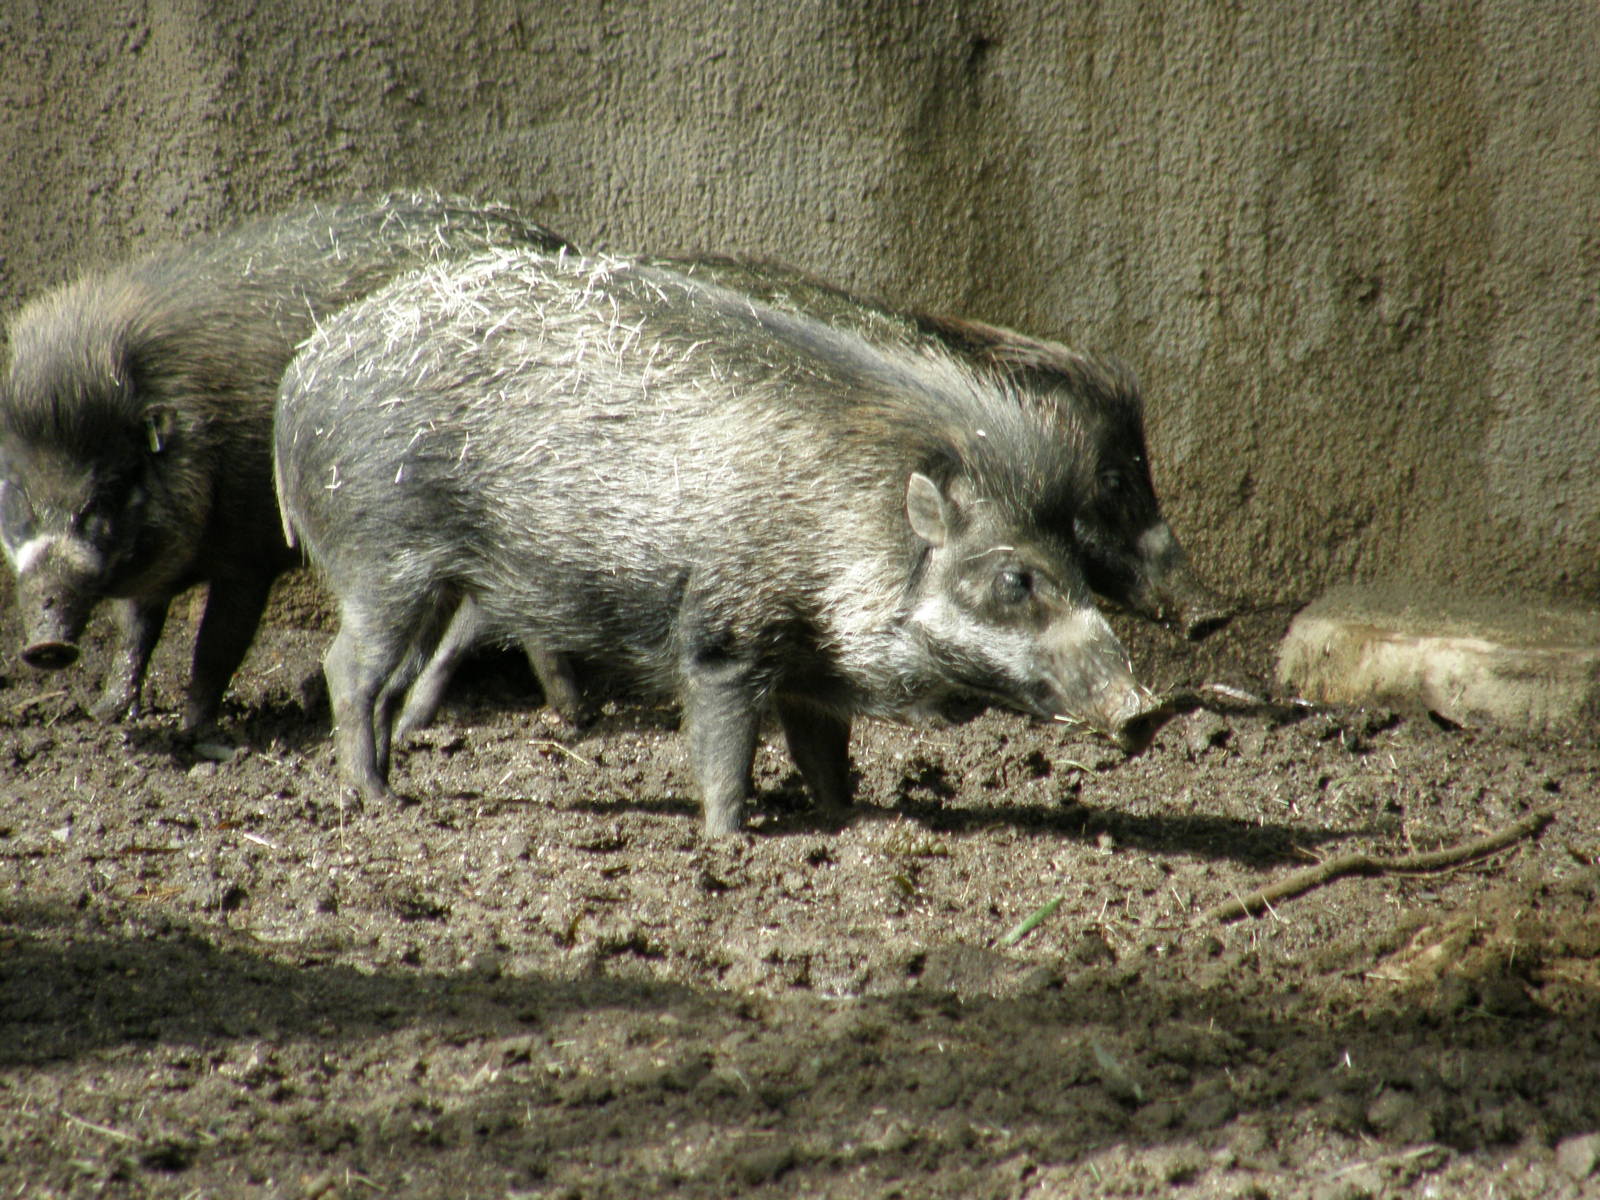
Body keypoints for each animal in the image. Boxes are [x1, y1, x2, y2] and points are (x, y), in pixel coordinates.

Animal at [0, 192, 570, 731]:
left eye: (105, 495)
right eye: (18, 499)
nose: (45, 648)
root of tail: (554, 240)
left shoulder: (252, 554)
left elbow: (217, 644)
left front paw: (197, 732)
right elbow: (136, 628)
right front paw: (108, 714)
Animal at [275, 250, 1169, 835]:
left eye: (1078, 572)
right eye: (1016, 579)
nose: (1148, 711)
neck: (848, 531)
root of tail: (303, 372)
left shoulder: (814, 667)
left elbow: (825, 751)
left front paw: (850, 819)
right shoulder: (724, 636)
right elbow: (724, 746)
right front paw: (728, 841)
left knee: (389, 682)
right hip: (384, 559)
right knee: (346, 668)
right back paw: (378, 802)